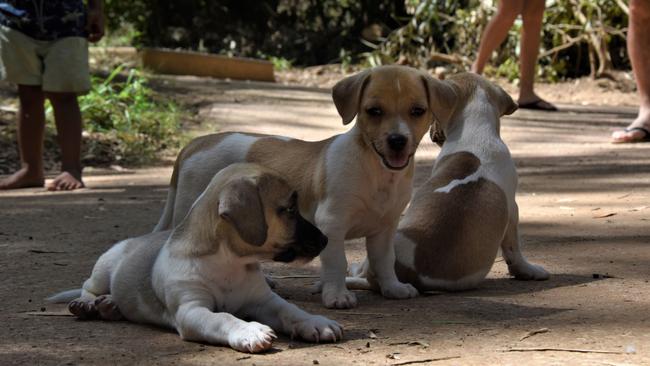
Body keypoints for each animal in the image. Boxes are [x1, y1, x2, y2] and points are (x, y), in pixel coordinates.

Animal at [48, 164, 342, 354]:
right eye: (290, 209)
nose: (326, 240)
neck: (229, 263)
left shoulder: (264, 300)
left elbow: (290, 310)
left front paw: (315, 322)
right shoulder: (192, 310)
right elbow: (223, 318)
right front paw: (249, 331)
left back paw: (110, 305)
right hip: (106, 265)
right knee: (88, 286)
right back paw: (88, 304)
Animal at [152, 65, 458, 308]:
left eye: (417, 111)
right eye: (374, 111)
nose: (397, 140)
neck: (376, 171)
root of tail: (196, 143)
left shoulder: (384, 228)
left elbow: (384, 261)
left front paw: (392, 288)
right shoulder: (332, 223)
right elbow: (337, 263)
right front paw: (337, 296)